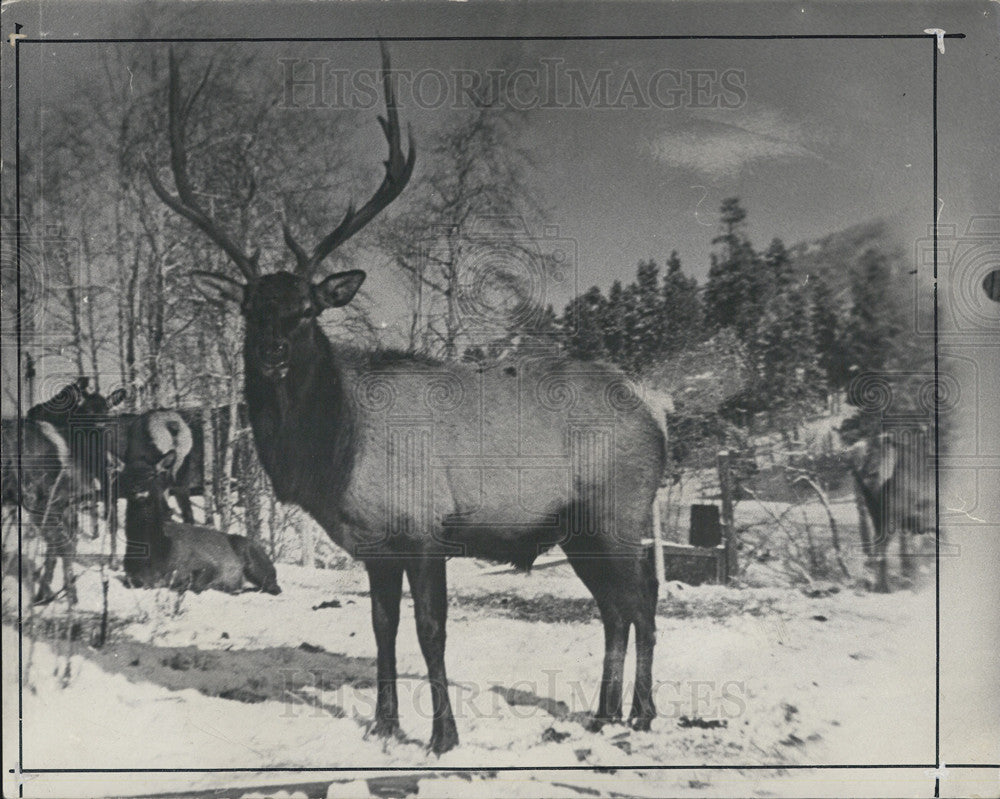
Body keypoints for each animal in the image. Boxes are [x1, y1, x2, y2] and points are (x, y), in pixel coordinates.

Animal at [118, 450, 282, 592]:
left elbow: (194, 584)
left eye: (151, 475)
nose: (138, 488)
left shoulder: (206, 564)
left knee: (273, 587)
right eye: (126, 475)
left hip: (253, 558)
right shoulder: (130, 575)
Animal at [146, 45, 664, 756]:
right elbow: (382, 628)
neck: (334, 457)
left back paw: (641, 713)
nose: (273, 354)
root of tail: (658, 421)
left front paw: (444, 735)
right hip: (580, 528)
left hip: (618, 510)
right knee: (614, 608)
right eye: (250, 309)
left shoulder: (424, 528)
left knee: (642, 602)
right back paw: (604, 712)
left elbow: (430, 630)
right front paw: (384, 723)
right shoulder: (375, 545)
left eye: (307, 309)